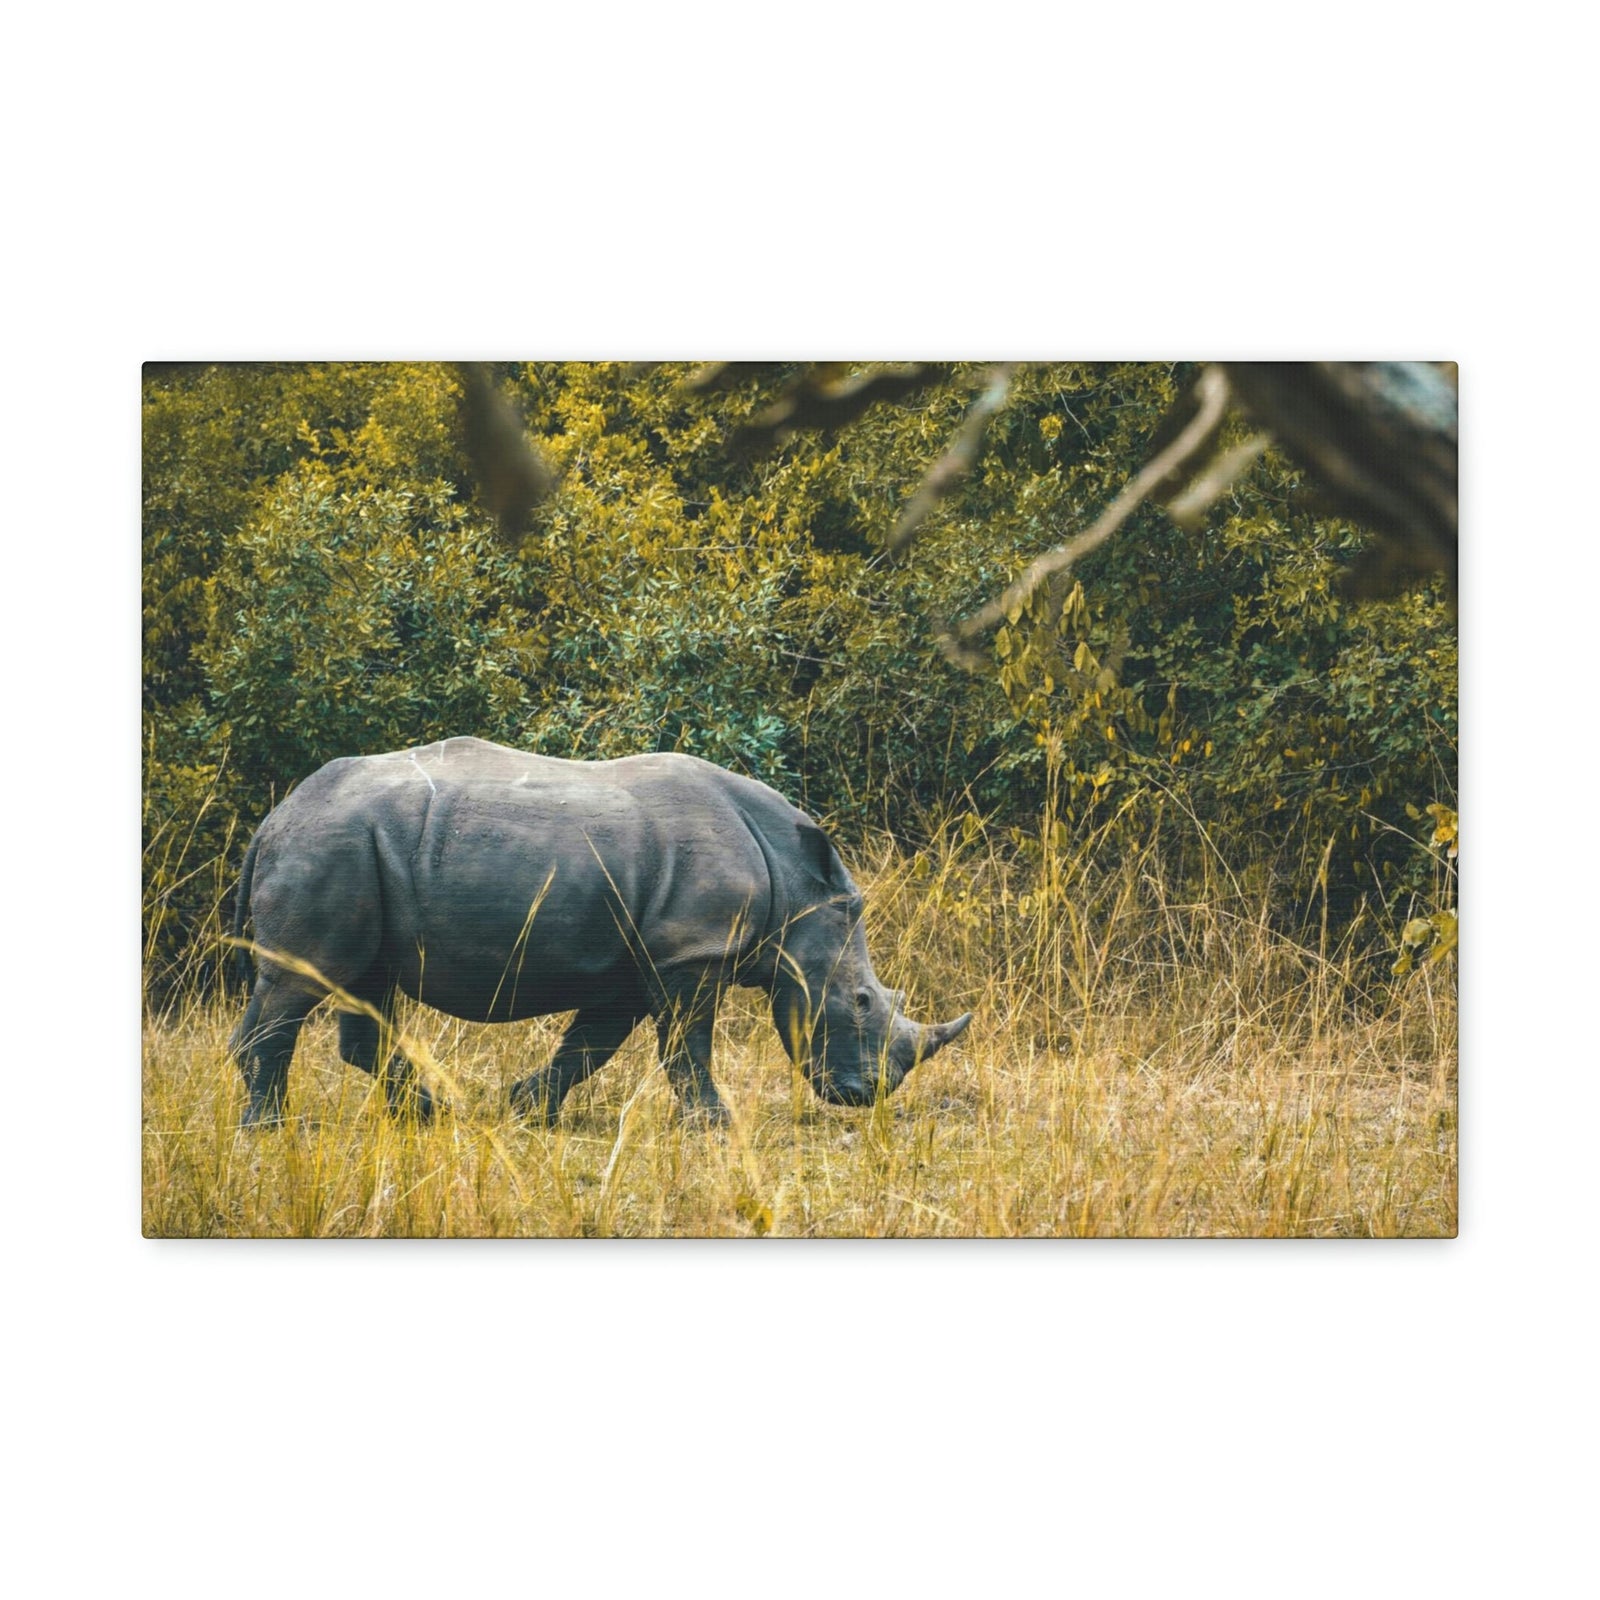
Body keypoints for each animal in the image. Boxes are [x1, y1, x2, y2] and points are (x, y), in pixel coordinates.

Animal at [229, 737, 972, 1128]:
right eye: (862, 1002)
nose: (866, 1097)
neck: (797, 887)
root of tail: (275, 819)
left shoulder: (643, 959)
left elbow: (591, 1046)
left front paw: (526, 1109)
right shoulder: (692, 952)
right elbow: (686, 1047)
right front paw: (715, 1126)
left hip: (355, 850)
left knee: (367, 988)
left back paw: (429, 1116)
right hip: (330, 845)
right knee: (300, 983)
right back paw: (270, 1130)